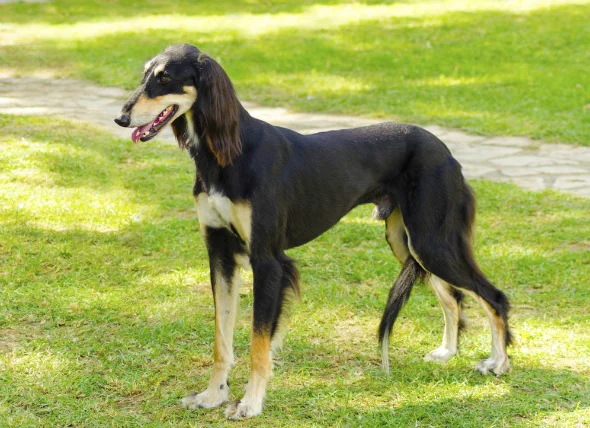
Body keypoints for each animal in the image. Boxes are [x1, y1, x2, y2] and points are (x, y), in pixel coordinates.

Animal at [115, 45, 512, 420]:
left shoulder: (267, 261)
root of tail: (446, 152)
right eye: (145, 74)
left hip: (431, 241)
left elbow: (258, 343)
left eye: (165, 78)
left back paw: (498, 363)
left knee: (493, 296)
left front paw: (250, 403)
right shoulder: (220, 254)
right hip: (408, 243)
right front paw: (213, 395)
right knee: (453, 297)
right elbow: (221, 338)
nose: (121, 118)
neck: (228, 154)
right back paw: (448, 351)